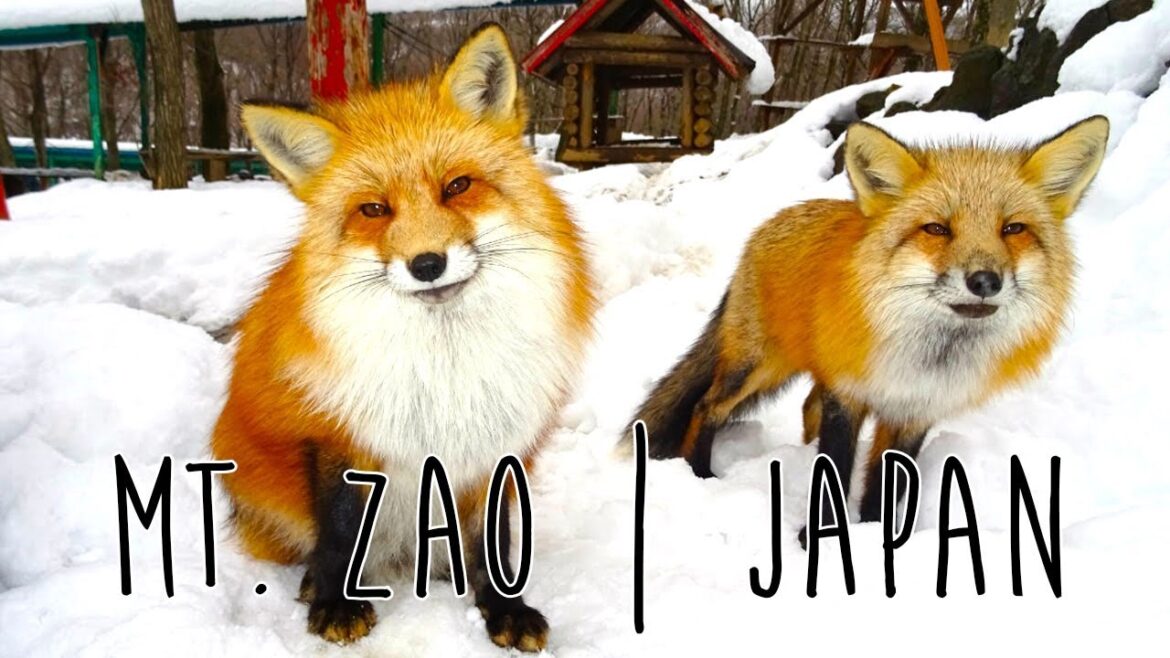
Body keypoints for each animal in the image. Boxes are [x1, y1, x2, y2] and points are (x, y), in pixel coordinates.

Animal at [210, 25, 595, 651]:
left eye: (458, 186)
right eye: (373, 209)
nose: (427, 263)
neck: (444, 369)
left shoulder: (497, 446)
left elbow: (494, 545)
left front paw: (503, 609)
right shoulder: (338, 436)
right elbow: (341, 531)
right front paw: (335, 604)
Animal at [628, 115, 1108, 527]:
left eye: (1013, 229)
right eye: (937, 229)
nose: (985, 281)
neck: (926, 358)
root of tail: (774, 220)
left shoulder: (915, 411)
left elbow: (885, 485)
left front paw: (876, 537)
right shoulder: (850, 393)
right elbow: (836, 473)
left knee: (806, 406)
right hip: (760, 365)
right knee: (706, 406)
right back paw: (698, 473)